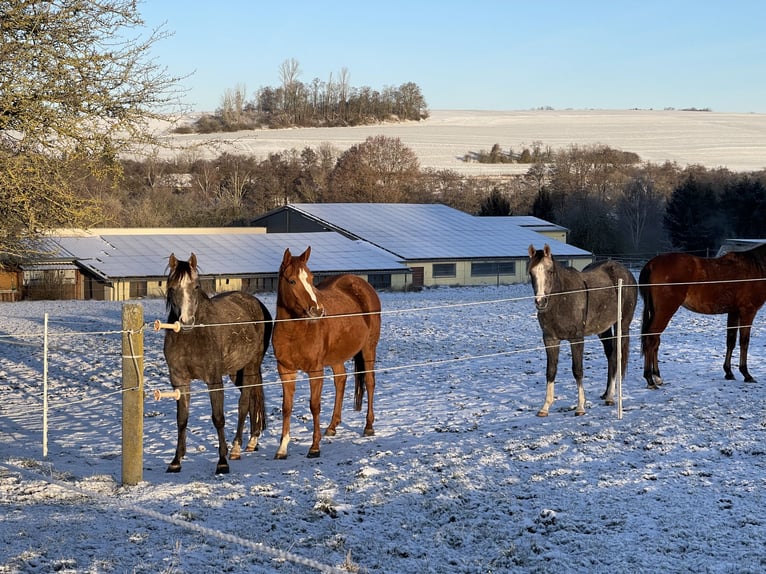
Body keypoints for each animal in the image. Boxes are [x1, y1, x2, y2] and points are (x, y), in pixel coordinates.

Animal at [162, 253, 272, 474]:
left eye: (196, 286)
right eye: (172, 287)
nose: (186, 322)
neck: (193, 337)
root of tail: (256, 303)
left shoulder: (214, 380)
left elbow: (218, 418)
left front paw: (222, 461)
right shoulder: (179, 381)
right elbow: (181, 420)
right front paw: (176, 461)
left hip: (250, 367)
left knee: (244, 404)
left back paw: (237, 447)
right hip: (236, 372)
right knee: (252, 400)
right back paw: (252, 441)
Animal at [272, 246, 381, 459]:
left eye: (311, 278)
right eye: (292, 281)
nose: (317, 310)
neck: (294, 331)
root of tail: (363, 285)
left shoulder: (315, 370)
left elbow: (315, 405)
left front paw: (314, 447)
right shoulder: (285, 371)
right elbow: (287, 407)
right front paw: (282, 449)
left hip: (369, 349)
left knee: (370, 382)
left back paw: (368, 426)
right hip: (337, 356)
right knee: (341, 380)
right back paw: (332, 426)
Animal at [528, 244, 638, 416]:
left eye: (550, 271)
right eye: (531, 273)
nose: (540, 302)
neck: (563, 298)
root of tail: (626, 273)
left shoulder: (576, 339)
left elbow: (577, 370)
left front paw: (580, 407)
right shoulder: (550, 339)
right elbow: (551, 371)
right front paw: (545, 407)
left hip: (622, 325)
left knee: (617, 355)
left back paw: (611, 397)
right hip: (604, 330)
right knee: (611, 355)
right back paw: (607, 394)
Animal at [639, 244, 766, 388]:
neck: (755, 267)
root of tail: (652, 264)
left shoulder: (733, 312)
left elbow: (731, 341)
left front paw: (728, 372)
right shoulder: (748, 311)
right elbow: (744, 342)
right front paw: (746, 374)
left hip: (658, 312)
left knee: (655, 340)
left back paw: (657, 377)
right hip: (665, 311)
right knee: (651, 339)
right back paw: (650, 379)